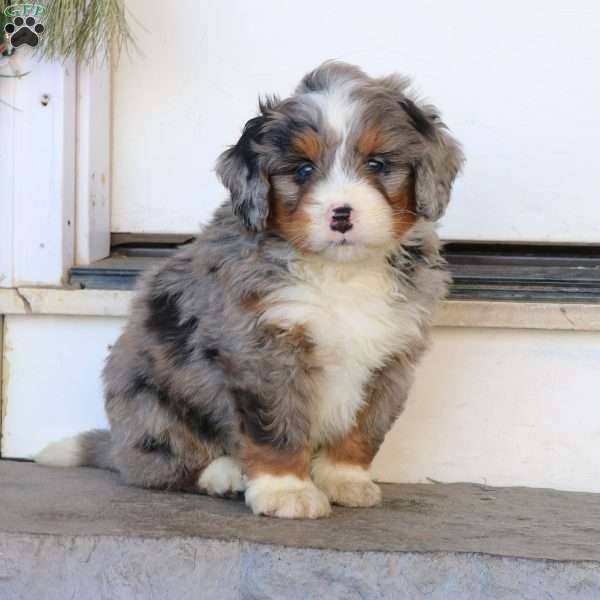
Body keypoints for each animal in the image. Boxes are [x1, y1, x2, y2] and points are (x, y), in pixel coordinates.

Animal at [37, 62, 464, 520]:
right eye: (303, 170)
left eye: (378, 162)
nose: (341, 215)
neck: (340, 271)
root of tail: (116, 445)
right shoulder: (263, 350)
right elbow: (275, 428)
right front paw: (286, 491)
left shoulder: (391, 358)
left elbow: (364, 428)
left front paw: (345, 479)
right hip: (148, 402)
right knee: (159, 463)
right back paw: (224, 474)